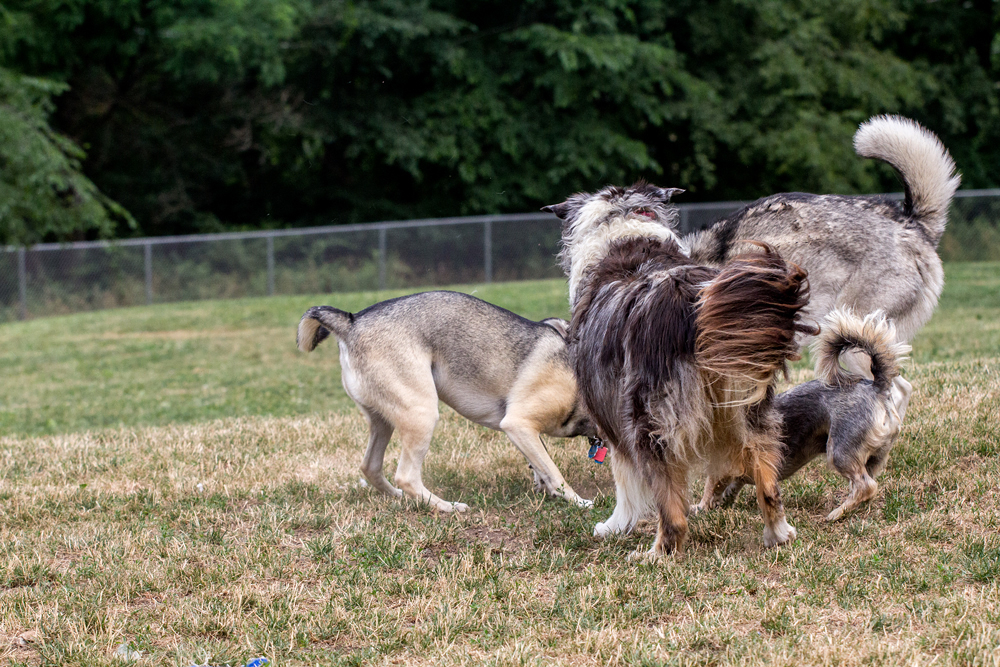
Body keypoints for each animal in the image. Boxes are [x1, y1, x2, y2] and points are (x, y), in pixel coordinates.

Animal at [292, 290, 596, 516]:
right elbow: (554, 471)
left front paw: (546, 488)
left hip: (383, 422)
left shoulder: (525, 431)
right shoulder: (517, 424)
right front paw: (578, 501)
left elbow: (540, 464)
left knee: (371, 467)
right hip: (422, 414)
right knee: (407, 476)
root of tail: (351, 322)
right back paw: (446, 507)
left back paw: (399, 497)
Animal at [548, 180, 820, 556]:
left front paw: (614, 526)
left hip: (650, 420)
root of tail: (690, 301)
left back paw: (657, 553)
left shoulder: (611, 417)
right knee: (767, 480)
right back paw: (778, 533)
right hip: (751, 406)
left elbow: (624, 481)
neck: (625, 227)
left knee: (672, 508)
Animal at [696, 308, 916, 520]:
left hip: (840, 450)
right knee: (864, 484)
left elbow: (710, 487)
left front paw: (700, 509)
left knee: (866, 486)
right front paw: (720, 505)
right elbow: (728, 489)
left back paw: (837, 513)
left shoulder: (721, 467)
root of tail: (877, 387)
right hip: (873, 457)